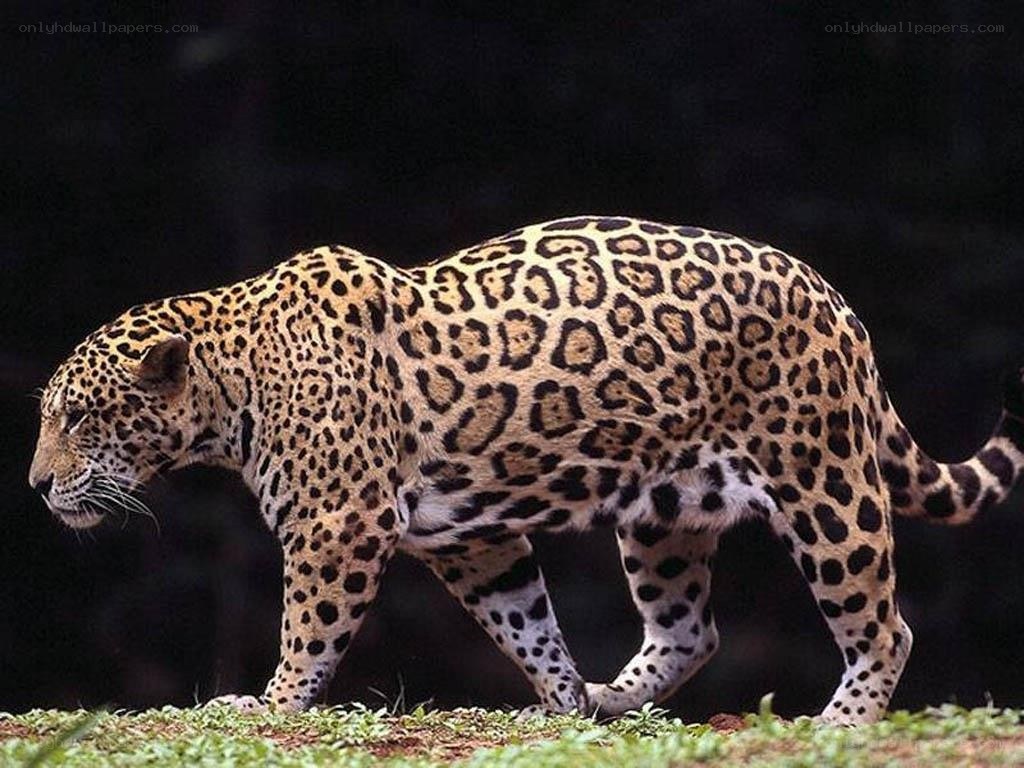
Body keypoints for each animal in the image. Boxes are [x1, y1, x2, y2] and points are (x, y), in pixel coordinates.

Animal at [29, 215, 1024, 725]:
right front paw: (560, 701)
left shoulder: (338, 525)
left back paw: (840, 723)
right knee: (689, 630)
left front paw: (269, 707)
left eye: (78, 417)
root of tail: (835, 297)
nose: (36, 485)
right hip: (665, 513)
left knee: (885, 625)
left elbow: (308, 630)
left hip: (825, 481)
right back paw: (613, 695)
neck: (231, 384)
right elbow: (526, 623)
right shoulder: (472, 542)